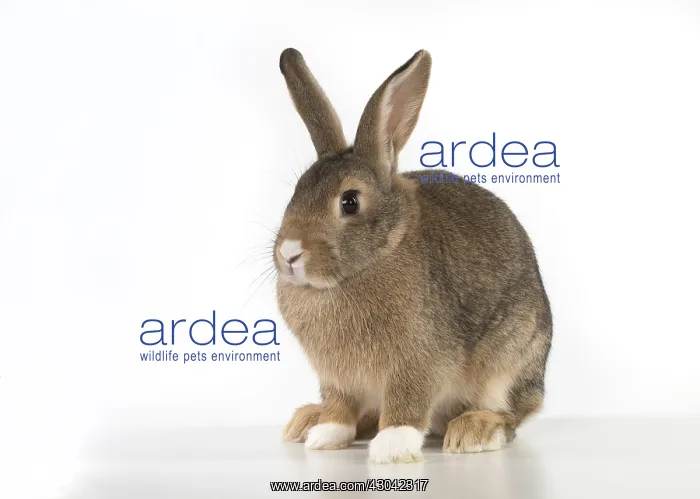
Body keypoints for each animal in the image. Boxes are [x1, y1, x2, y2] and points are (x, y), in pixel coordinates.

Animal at [274, 48, 553, 464]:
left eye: (350, 202)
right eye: (294, 194)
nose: (289, 253)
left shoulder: (419, 360)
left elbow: (406, 402)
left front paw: (392, 447)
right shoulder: (337, 377)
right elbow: (340, 407)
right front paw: (326, 434)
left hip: (510, 362)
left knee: (511, 414)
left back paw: (473, 431)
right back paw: (307, 420)